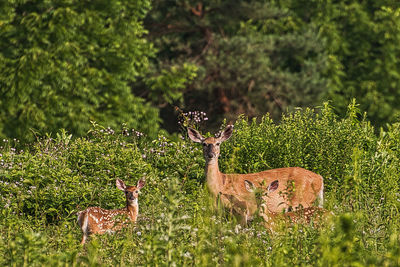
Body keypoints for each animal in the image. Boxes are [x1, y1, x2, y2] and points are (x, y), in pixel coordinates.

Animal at [188, 125, 324, 224]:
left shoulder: (242, 209)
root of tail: (320, 178)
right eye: (204, 144)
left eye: (218, 143)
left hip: (302, 200)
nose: (211, 155)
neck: (220, 186)